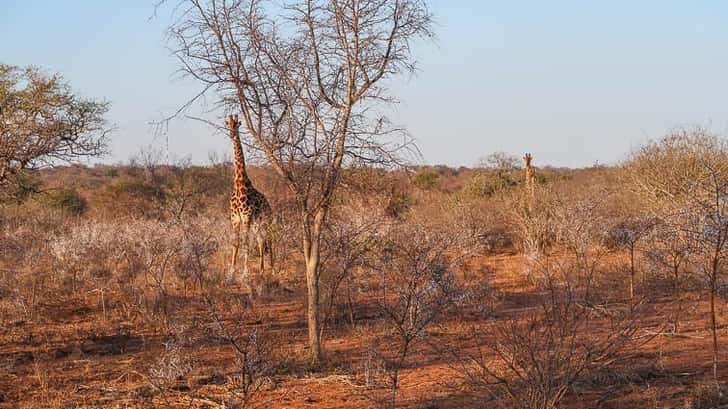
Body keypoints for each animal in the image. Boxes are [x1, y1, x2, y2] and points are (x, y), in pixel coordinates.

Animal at [226, 115, 272, 280]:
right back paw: (261, 269)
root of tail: (270, 207)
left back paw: (268, 269)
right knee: (260, 241)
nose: (232, 134)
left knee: (265, 241)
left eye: (237, 125)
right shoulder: (235, 218)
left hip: (264, 222)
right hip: (256, 224)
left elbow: (245, 243)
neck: (239, 183)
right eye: (228, 124)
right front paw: (231, 272)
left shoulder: (245, 218)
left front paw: (245, 272)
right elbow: (235, 243)